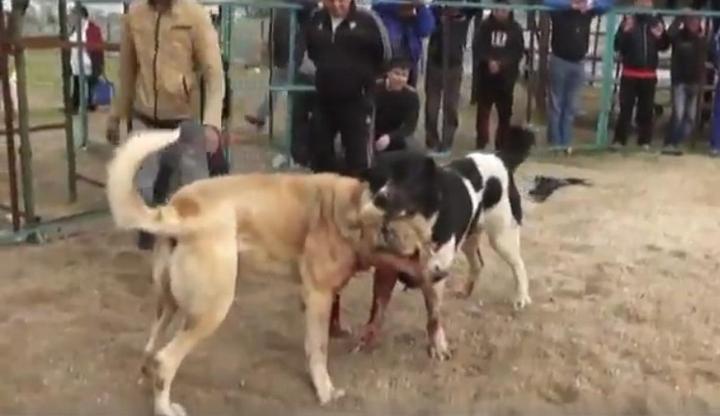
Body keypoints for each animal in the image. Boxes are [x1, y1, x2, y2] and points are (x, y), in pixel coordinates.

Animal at [104, 128, 430, 414]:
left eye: (429, 245)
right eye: (415, 253)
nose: (437, 274)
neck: (350, 210)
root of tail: (179, 208)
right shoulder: (319, 296)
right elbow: (318, 349)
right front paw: (324, 391)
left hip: (168, 302)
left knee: (151, 349)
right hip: (211, 311)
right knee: (165, 361)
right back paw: (164, 408)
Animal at [358, 126, 536, 358]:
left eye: (407, 178)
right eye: (377, 179)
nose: (380, 198)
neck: (414, 223)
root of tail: (501, 157)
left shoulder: (434, 274)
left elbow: (434, 316)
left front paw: (438, 345)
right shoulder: (386, 270)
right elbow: (377, 308)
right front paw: (369, 336)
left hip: (502, 236)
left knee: (519, 265)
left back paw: (521, 297)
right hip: (469, 236)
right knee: (478, 263)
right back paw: (466, 290)